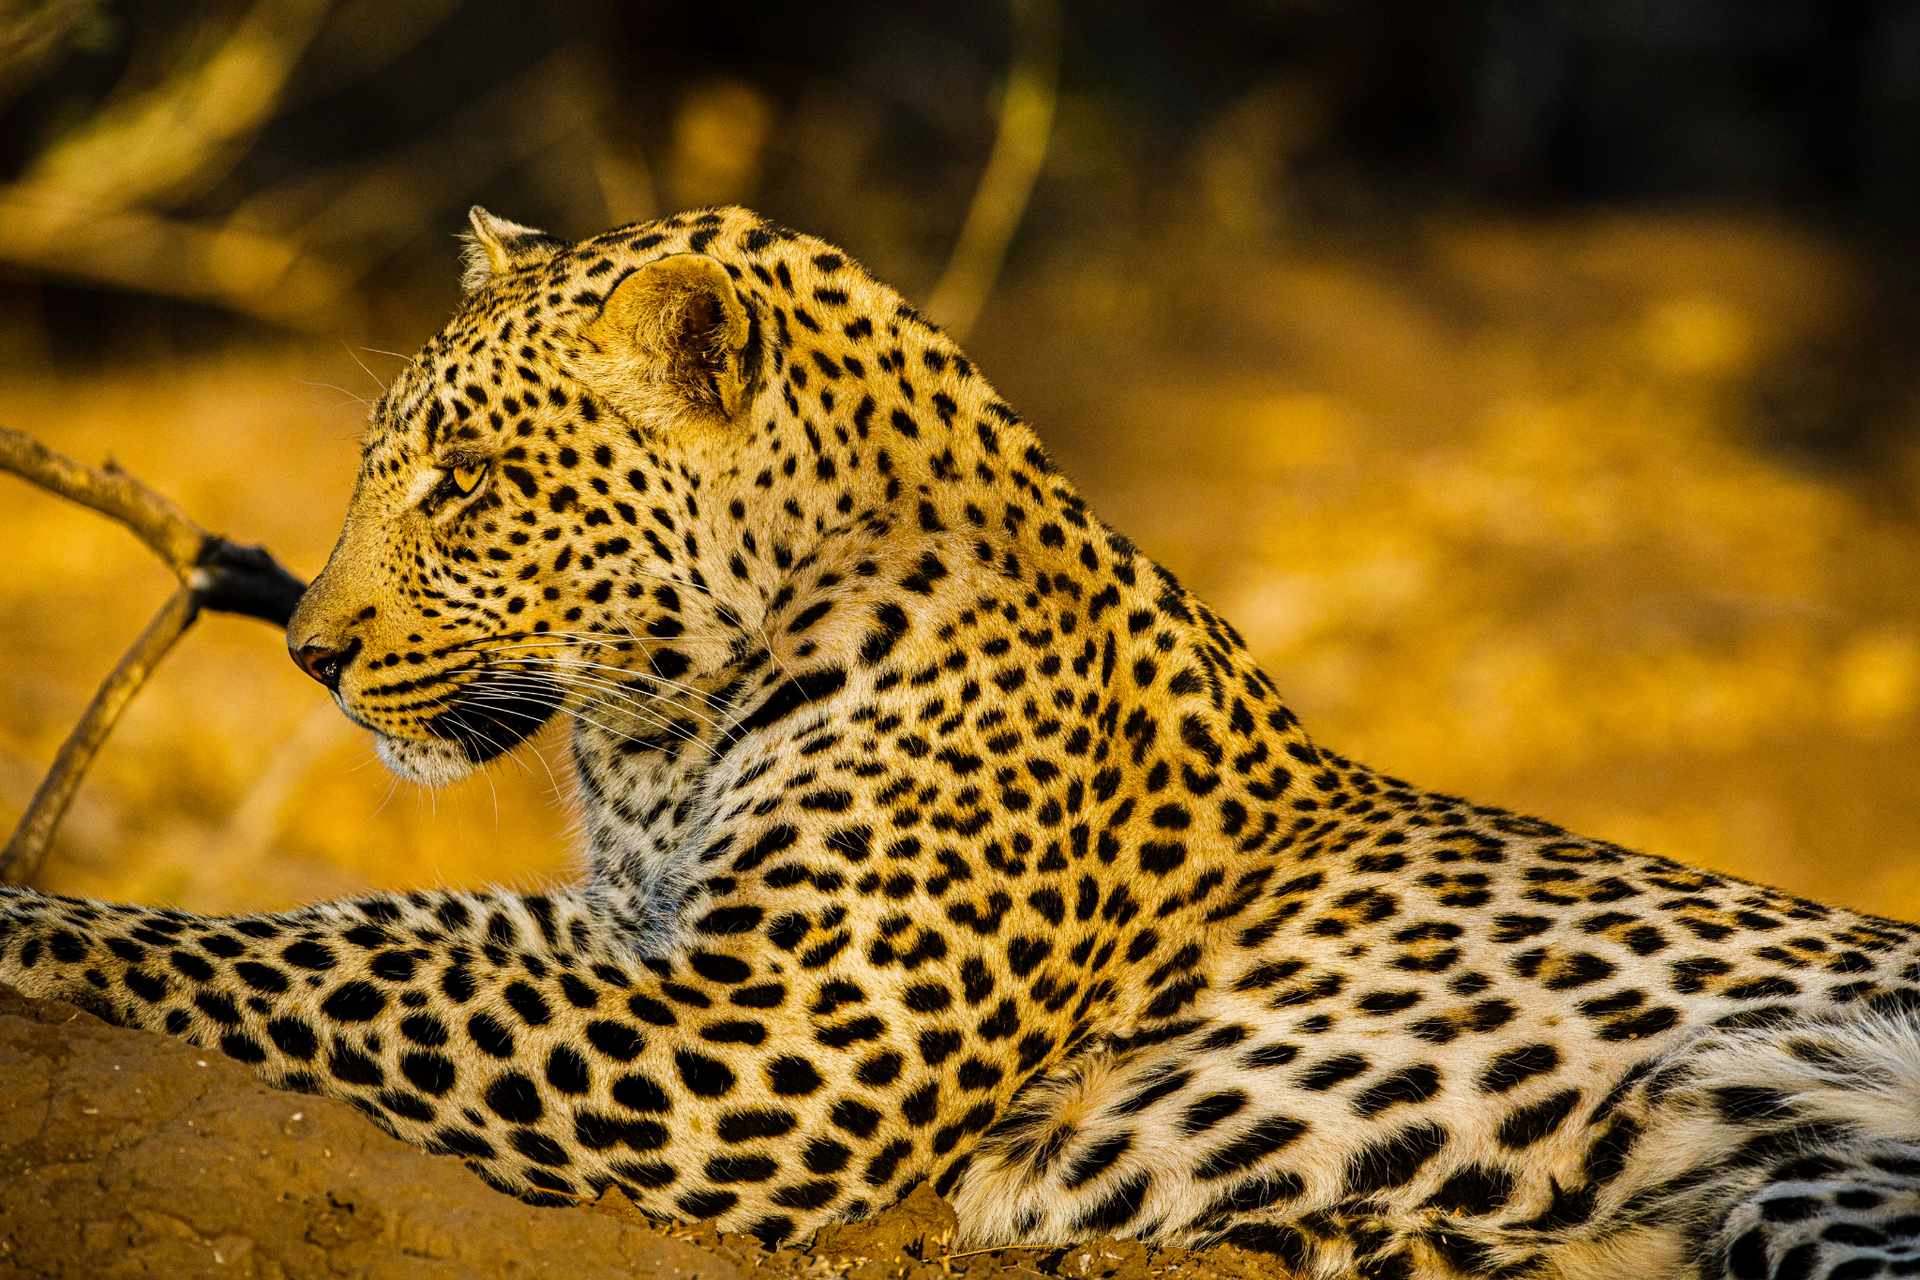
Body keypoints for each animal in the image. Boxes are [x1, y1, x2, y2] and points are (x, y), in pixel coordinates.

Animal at [5, 203, 1920, 1280]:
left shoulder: (775, 1048)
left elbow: (348, 980)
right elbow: (352, 930)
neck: (664, 731)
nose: (310, 652)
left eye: (464, 481)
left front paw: (36, 933)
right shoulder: (636, 934)